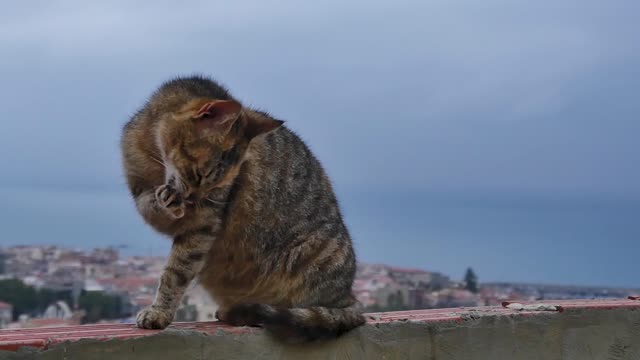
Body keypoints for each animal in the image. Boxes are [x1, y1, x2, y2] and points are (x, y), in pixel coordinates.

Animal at [119, 75, 364, 340]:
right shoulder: (141, 190)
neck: (152, 152)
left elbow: (175, 273)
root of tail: (350, 299)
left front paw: (159, 312)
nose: (194, 200)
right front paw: (165, 200)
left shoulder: (203, 223)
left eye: (217, 185)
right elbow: (149, 204)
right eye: (199, 174)